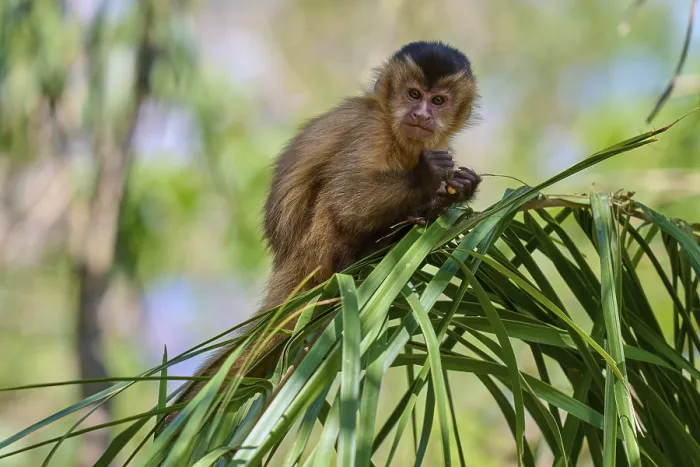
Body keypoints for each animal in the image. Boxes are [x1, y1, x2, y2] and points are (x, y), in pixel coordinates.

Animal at [162, 40, 482, 430]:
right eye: (413, 94)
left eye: (438, 101)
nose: (421, 114)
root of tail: (286, 262)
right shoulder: (371, 130)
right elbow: (345, 198)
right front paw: (425, 178)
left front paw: (457, 190)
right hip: (311, 252)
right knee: (332, 197)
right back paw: (359, 254)